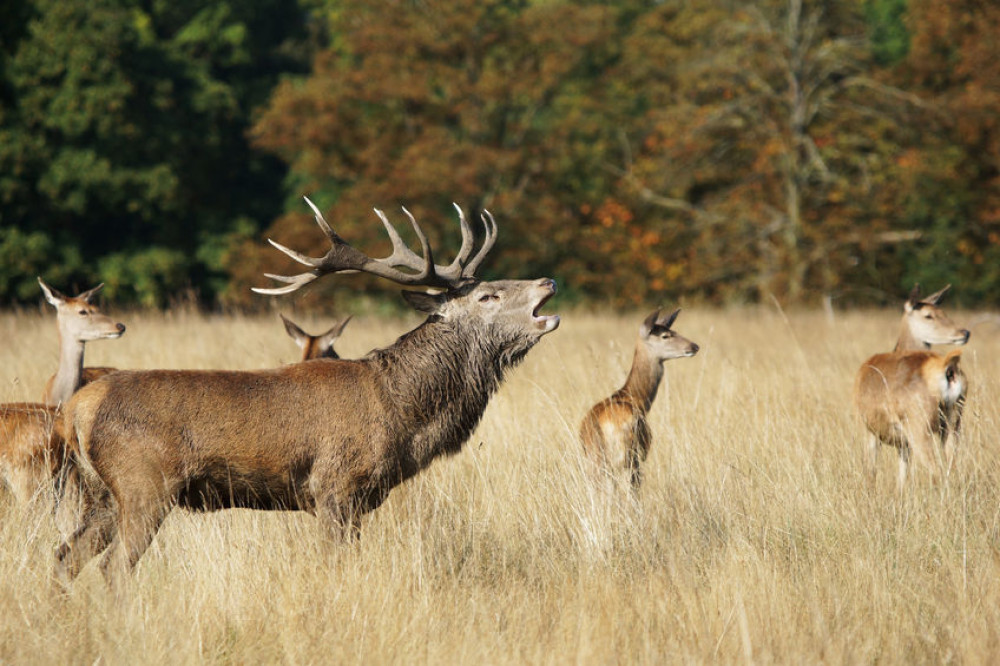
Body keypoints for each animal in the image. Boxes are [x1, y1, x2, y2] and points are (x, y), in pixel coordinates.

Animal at [54, 198, 560, 588]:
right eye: (488, 296)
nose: (547, 281)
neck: (403, 414)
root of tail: (75, 411)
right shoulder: (335, 487)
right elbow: (337, 566)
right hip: (144, 484)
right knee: (113, 569)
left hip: (101, 494)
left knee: (65, 556)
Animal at [584, 306, 700, 492]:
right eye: (665, 335)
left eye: (673, 330)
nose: (694, 346)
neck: (637, 399)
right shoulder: (642, 453)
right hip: (627, 456)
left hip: (593, 462)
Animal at [852, 282, 968, 490]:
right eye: (929, 315)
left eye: (942, 311)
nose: (964, 332)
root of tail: (949, 367)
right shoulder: (902, 442)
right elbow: (903, 474)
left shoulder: (868, 427)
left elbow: (871, 471)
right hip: (954, 419)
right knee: (953, 466)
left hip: (919, 424)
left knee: (937, 470)